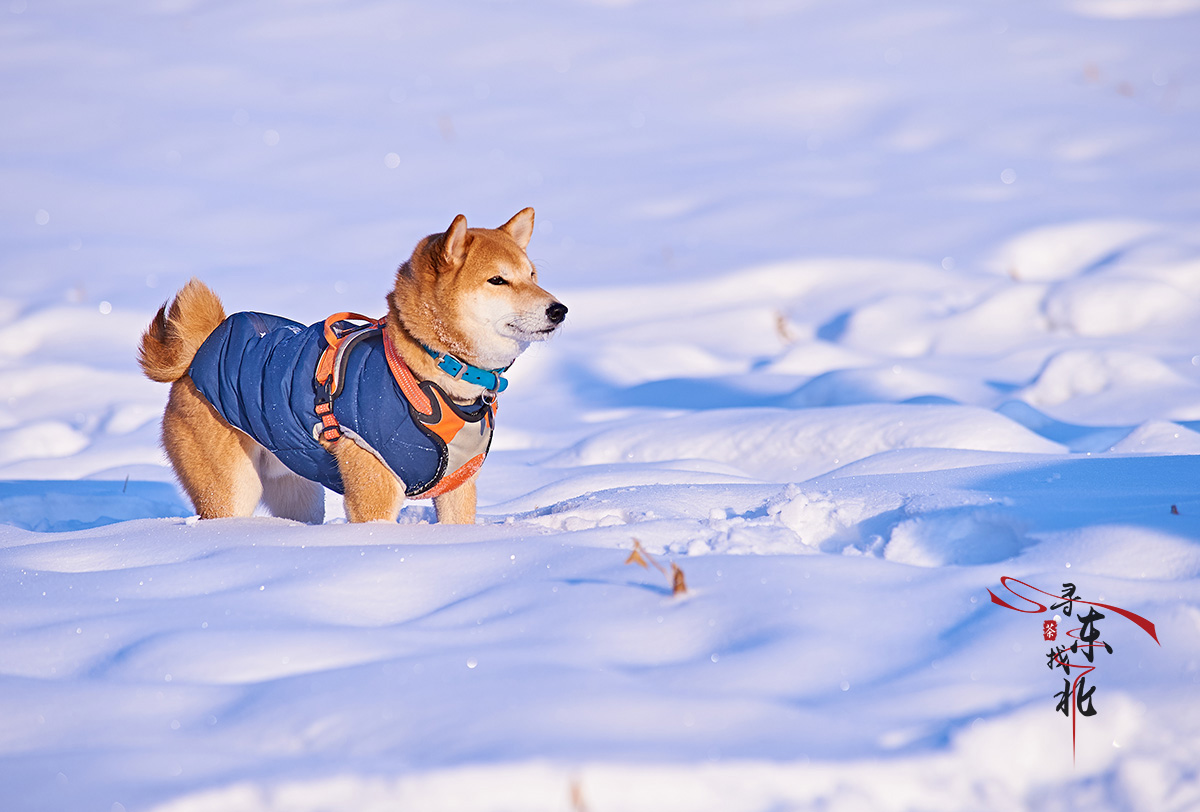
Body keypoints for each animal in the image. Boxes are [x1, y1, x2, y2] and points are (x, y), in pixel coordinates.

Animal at [138, 208, 568, 522]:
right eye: (497, 280)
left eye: (532, 275)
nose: (559, 309)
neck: (438, 378)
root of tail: (199, 353)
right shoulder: (374, 491)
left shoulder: (459, 487)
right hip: (232, 491)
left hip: (299, 494)